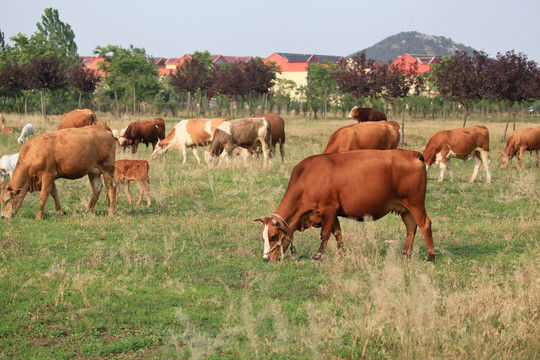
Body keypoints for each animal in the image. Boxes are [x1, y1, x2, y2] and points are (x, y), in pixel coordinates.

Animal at [255, 149, 436, 262]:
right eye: (263, 237)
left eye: (274, 236)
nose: (266, 259)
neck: (308, 178)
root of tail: (412, 154)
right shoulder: (333, 212)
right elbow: (337, 233)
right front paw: (342, 254)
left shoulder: (328, 209)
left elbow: (325, 234)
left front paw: (318, 256)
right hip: (405, 209)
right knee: (411, 228)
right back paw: (405, 255)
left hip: (416, 204)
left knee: (425, 225)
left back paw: (431, 256)